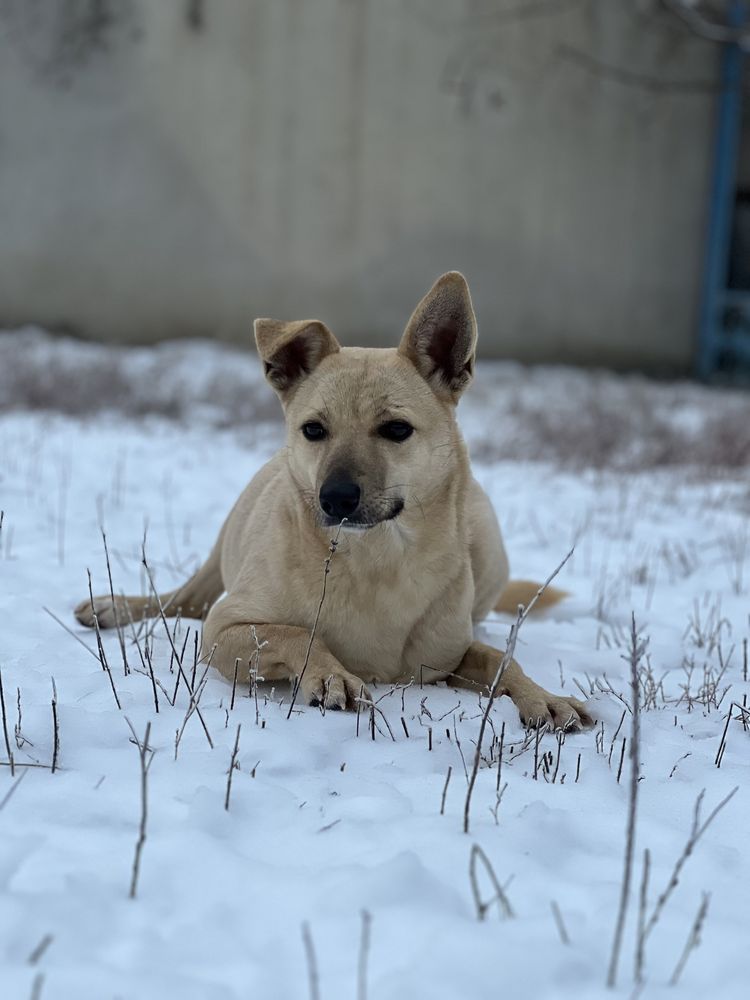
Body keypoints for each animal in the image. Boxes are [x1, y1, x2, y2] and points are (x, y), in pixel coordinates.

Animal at [76, 272, 592, 728]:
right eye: (313, 429)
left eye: (396, 429)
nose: (335, 498)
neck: (375, 560)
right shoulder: (225, 629)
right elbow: (294, 633)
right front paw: (331, 675)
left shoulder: (447, 655)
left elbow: (501, 661)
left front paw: (542, 697)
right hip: (223, 546)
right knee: (180, 602)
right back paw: (114, 607)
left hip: (487, 542)